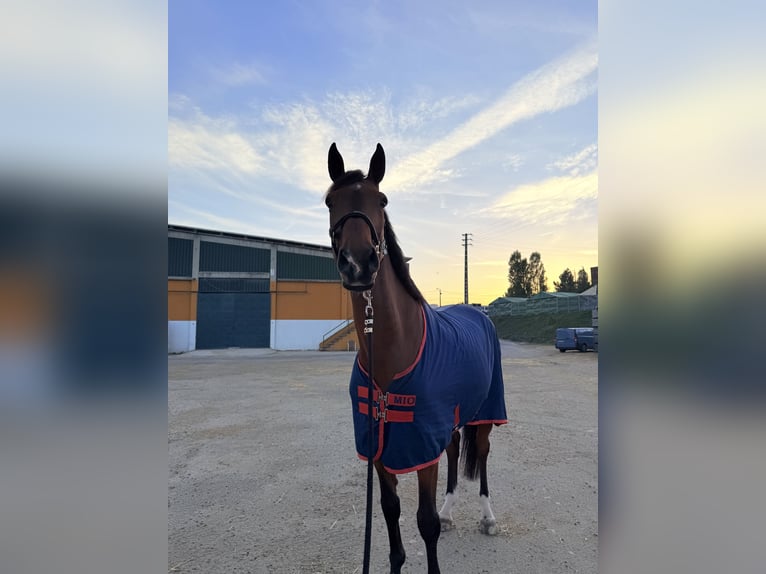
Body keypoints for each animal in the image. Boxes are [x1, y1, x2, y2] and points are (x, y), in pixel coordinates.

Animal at [324, 142, 508, 574]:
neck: (394, 350)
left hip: (486, 411)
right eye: (329, 201)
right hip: (453, 419)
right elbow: (390, 509)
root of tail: (477, 310)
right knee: (455, 450)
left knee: (483, 456)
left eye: (382, 200)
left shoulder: (422, 446)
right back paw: (451, 510)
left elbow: (425, 522)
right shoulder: (378, 444)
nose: (358, 264)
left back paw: (488, 517)